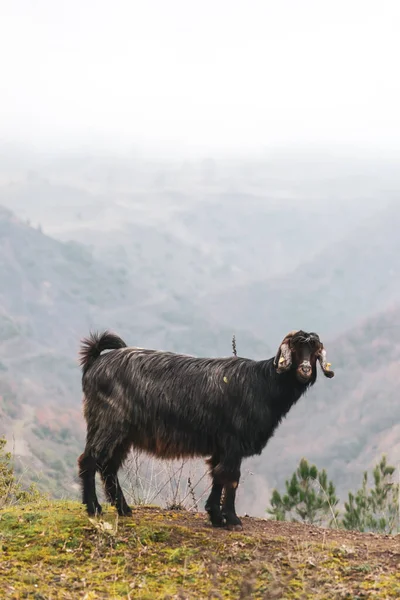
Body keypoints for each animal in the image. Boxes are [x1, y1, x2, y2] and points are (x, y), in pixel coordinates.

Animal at [78, 328, 334, 528]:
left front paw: (215, 516)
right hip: (108, 422)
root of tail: (96, 360)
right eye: (296, 348)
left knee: (109, 466)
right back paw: (94, 508)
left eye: (314, 352)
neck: (262, 384)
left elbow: (217, 475)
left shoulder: (222, 445)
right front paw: (232, 519)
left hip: (122, 433)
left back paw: (123, 509)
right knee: (90, 460)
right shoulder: (233, 442)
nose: (304, 370)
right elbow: (231, 477)